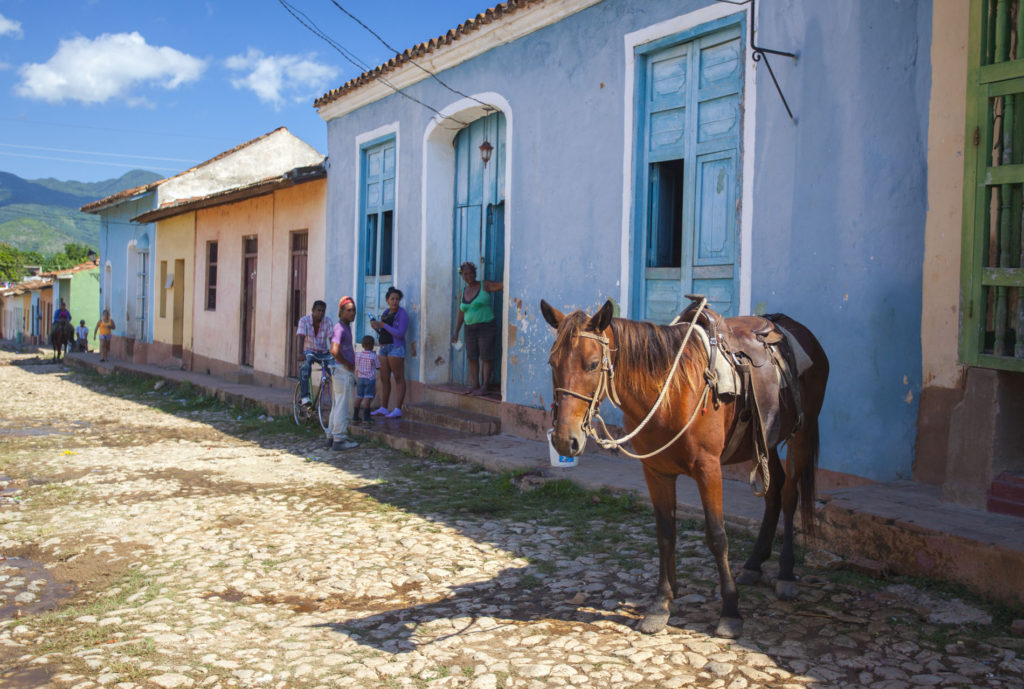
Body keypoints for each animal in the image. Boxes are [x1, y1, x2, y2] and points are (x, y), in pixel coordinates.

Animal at [540, 298, 827, 638]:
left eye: (593, 364)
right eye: (552, 363)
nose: (563, 440)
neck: (670, 393)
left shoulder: (708, 469)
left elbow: (717, 536)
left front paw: (730, 611)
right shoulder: (655, 471)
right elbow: (666, 533)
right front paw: (661, 602)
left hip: (801, 434)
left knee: (789, 496)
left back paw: (786, 574)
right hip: (764, 443)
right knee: (774, 491)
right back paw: (755, 564)